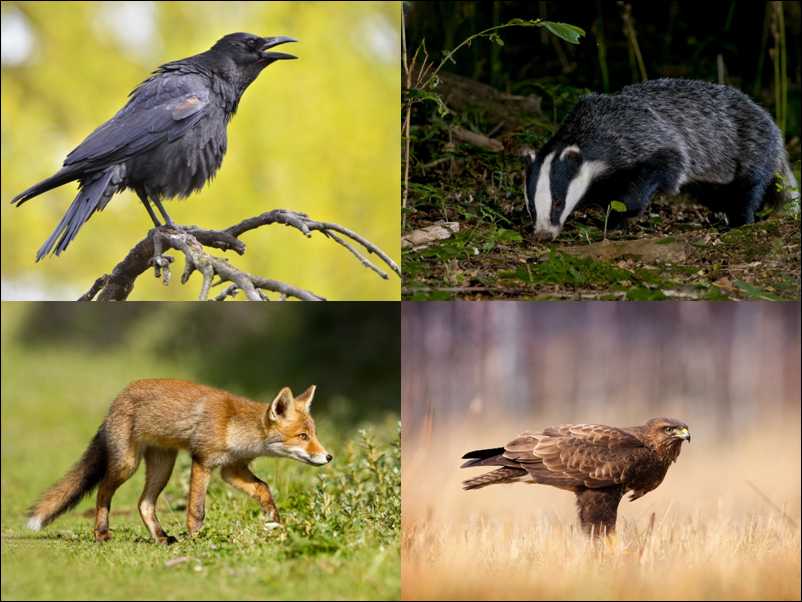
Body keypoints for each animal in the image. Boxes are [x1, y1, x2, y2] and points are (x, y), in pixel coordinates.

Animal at [25, 378, 332, 540]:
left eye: (313, 434)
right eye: (303, 436)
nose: (328, 456)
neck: (235, 427)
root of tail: (116, 401)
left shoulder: (232, 469)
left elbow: (264, 489)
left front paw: (276, 523)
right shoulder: (203, 461)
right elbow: (196, 509)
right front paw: (196, 538)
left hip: (163, 467)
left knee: (144, 503)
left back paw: (160, 537)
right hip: (127, 465)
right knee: (102, 492)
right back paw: (102, 533)